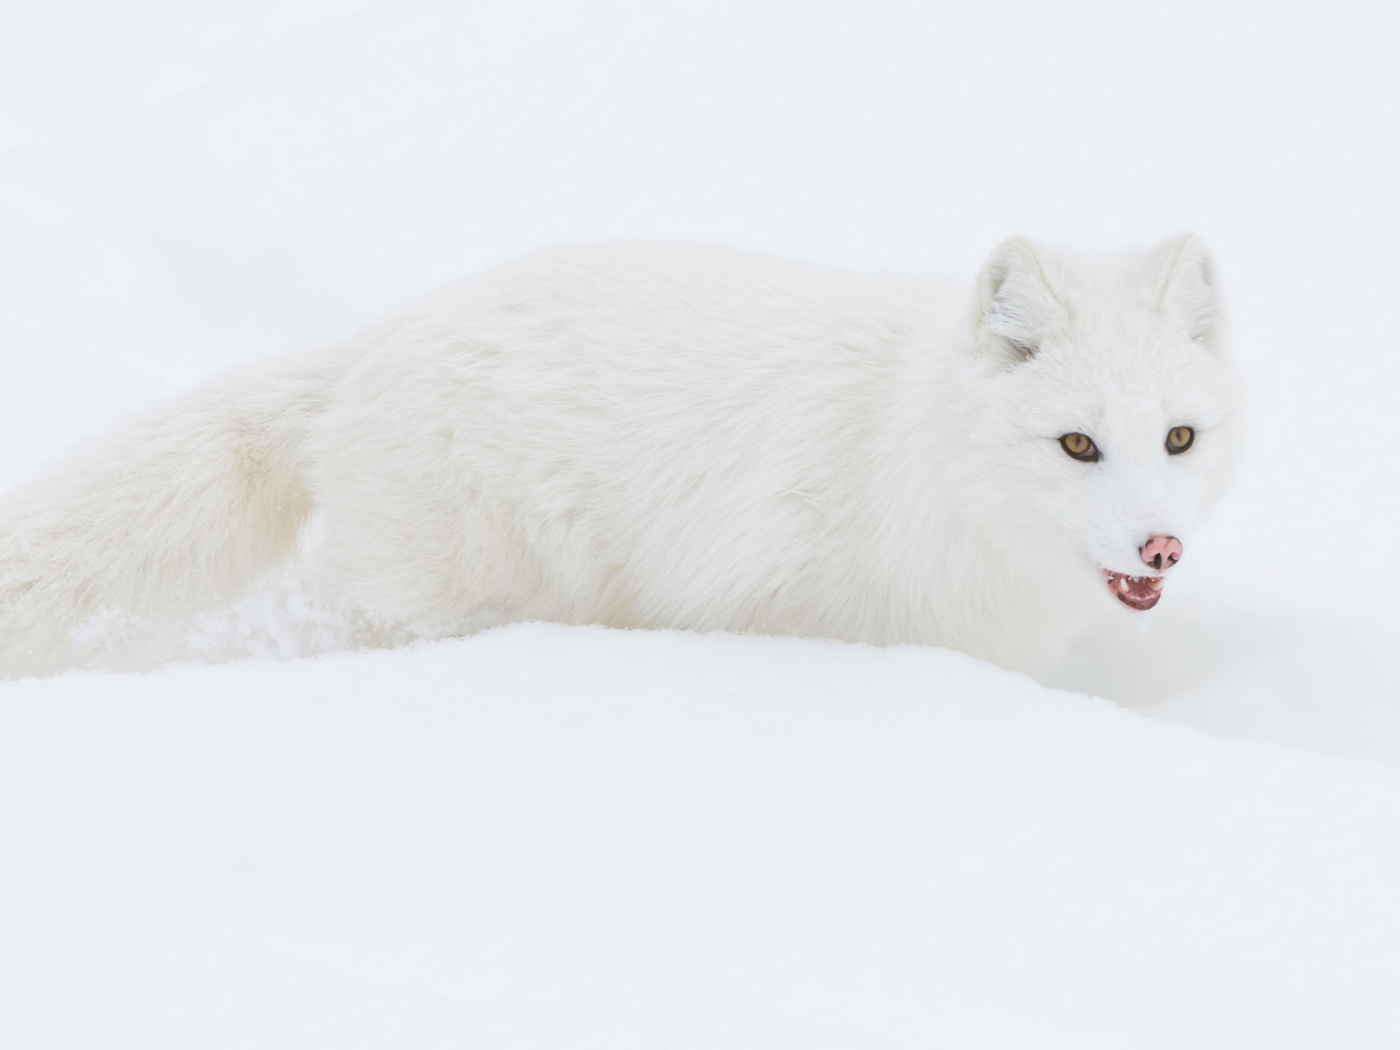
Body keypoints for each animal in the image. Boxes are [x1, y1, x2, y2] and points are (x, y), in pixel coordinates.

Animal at [2, 238, 1248, 677]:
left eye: (1178, 438)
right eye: (1076, 443)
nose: (1161, 547)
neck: (906, 458)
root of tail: (374, 344)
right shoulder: (754, 602)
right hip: (449, 595)